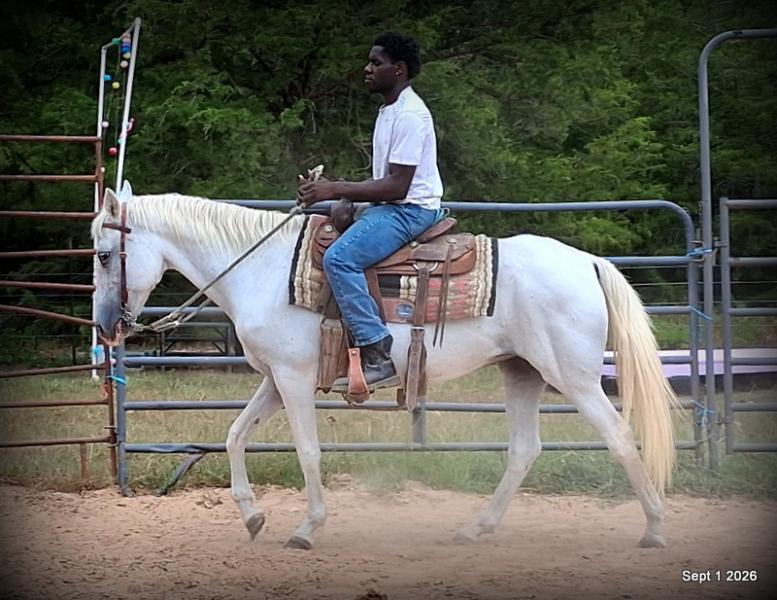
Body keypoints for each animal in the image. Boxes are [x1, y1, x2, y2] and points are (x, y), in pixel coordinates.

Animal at [92, 184, 678, 550]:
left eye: (101, 253)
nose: (105, 327)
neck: (261, 268)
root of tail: (588, 262)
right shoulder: (276, 380)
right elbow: (236, 436)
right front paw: (253, 517)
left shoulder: (295, 380)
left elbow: (307, 452)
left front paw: (307, 528)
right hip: (522, 372)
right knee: (524, 450)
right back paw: (476, 528)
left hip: (573, 377)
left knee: (619, 437)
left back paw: (654, 529)